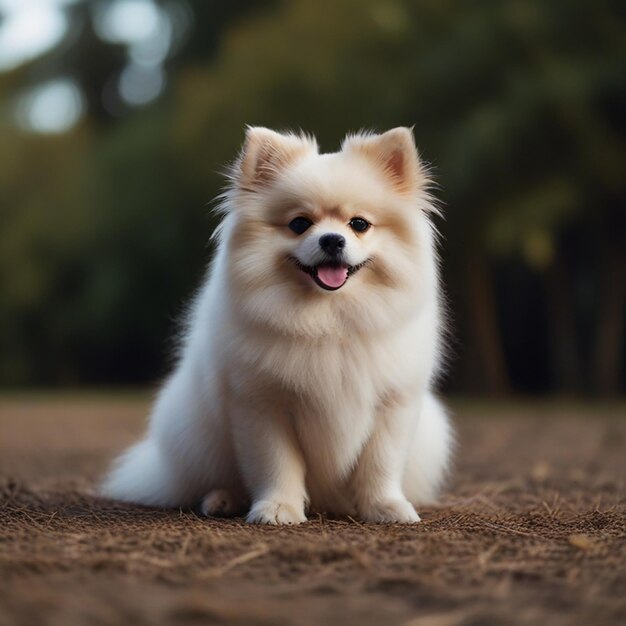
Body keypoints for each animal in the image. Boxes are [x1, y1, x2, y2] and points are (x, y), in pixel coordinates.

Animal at [103, 127, 454, 520]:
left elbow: (381, 464)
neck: (328, 322)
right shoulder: (263, 405)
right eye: (299, 224)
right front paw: (278, 508)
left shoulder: (393, 406)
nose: (332, 239)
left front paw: (385, 507)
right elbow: (275, 463)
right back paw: (222, 499)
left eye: (359, 224)